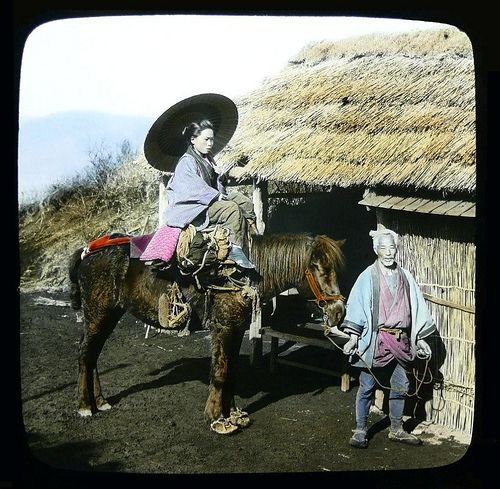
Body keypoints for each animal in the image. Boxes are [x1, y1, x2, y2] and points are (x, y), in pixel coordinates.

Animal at [68, 231, 346, 432]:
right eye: (318, 267)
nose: (339, 312)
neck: (244, 274)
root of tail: (87, 252)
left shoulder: (236, 330)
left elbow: (231, 372)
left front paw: (232, 413)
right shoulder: (222, 328)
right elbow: (220, 373)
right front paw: (215, 418)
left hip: (109, 314)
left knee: (92, 355)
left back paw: (100, 401)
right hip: (98, 313)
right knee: (84, 353)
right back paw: (84, 405)